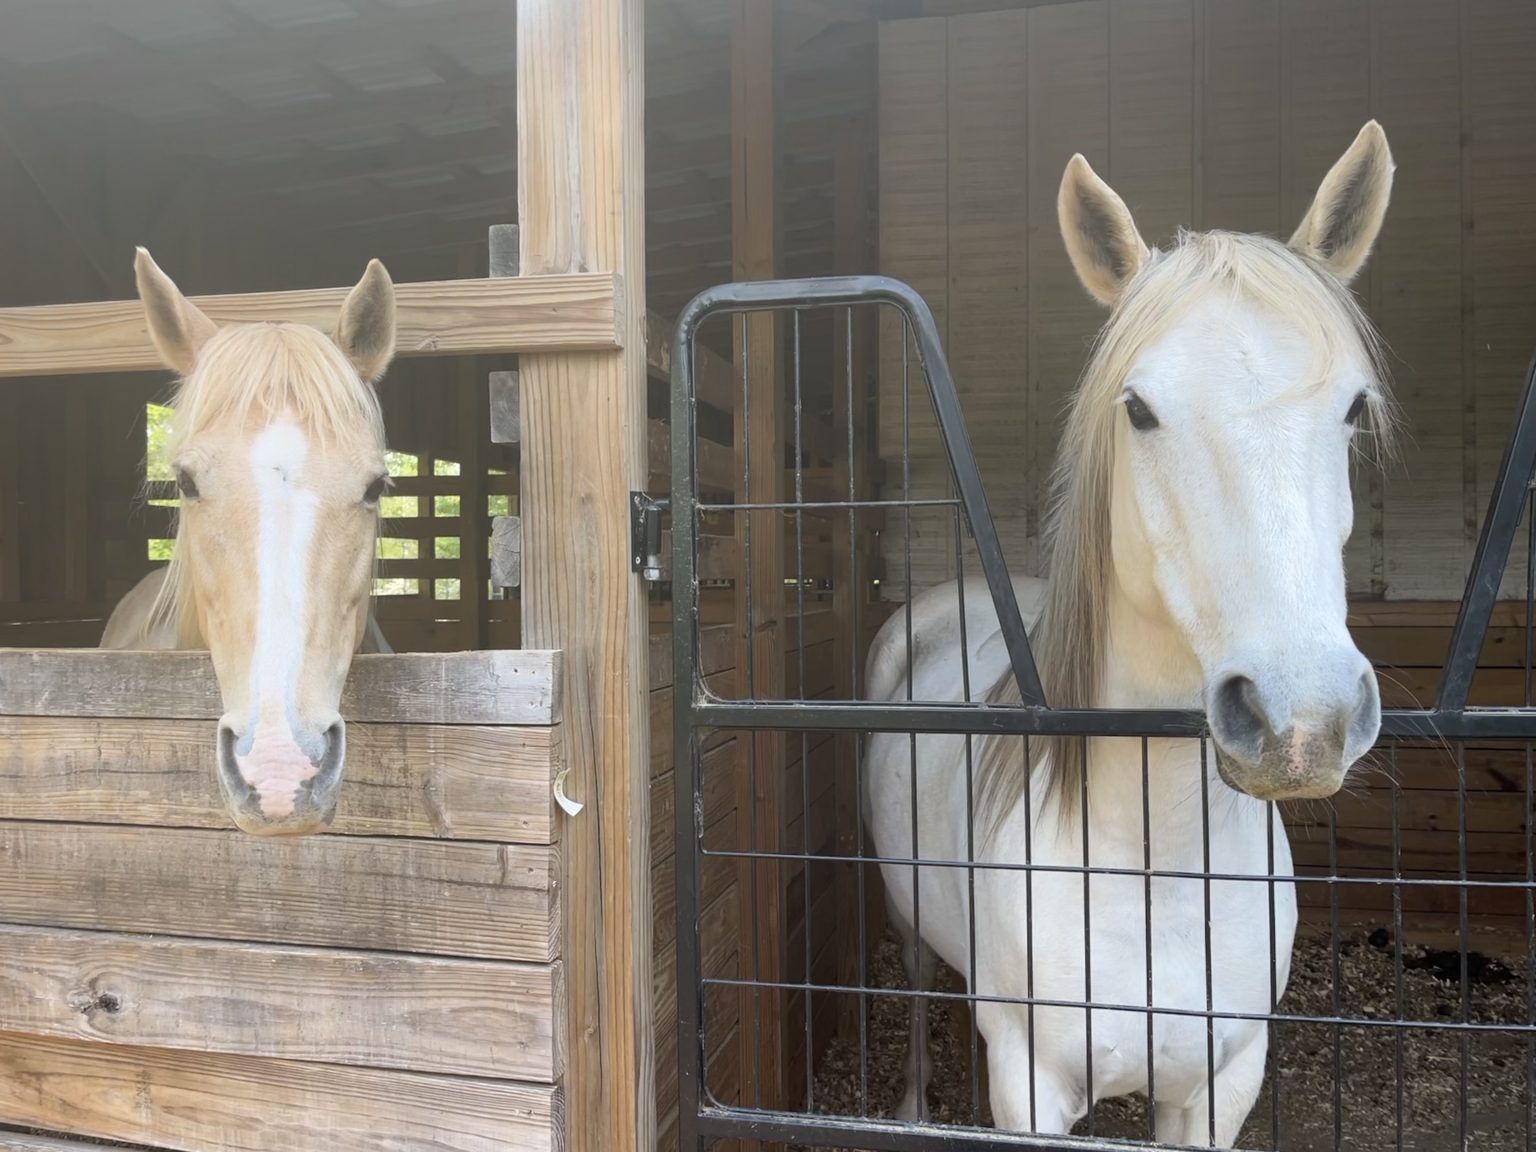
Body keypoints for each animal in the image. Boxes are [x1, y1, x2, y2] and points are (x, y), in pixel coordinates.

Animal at [863, 120, 1396, 1145]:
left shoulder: (1222, 1083)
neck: (1162, 866)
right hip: (905, 923)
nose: (1301, 722)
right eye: (1140, 409)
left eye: (1351, 408)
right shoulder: (1030, 1085)